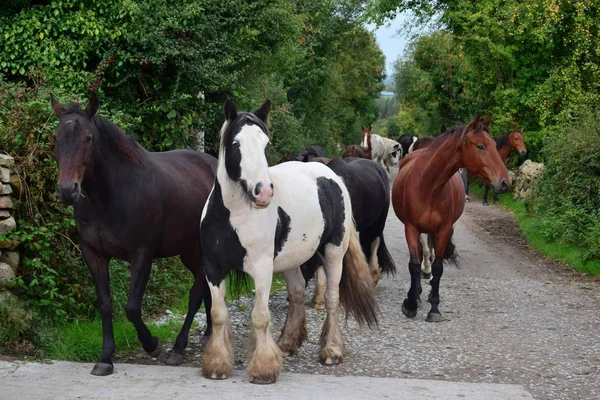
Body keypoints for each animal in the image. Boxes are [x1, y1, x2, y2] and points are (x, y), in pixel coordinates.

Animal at [50, 93, 217, 376]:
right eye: (56, 137)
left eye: (88, 138)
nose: (67, 190)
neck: (110, 195)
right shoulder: (93, 254)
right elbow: (105, 304)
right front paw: (105, 357)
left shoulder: (142, 255)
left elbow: (131, 307)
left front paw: (152, 344)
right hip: (189, 251)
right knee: (205, 288)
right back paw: (208, 333)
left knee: (196, 293)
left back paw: (178, 348)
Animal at [202, 99, 380, 384]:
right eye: (236, 144)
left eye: (265, 144)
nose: (263, 192)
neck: (232, 216)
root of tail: (332, 177)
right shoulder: (212, 268)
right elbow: (218, 315)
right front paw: (217, 365)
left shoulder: (262, 267)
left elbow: (260, 316)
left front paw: (263, 369)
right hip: (291, 260)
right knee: (296, 293)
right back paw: (287, 343)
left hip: (333, 254)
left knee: (332, 297)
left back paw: (332, 350)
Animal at [394, 118, 510, 322]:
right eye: (480, 146)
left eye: (495, 145)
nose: (505, 182)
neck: (428, 186)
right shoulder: (411, 228)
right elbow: (414, 265)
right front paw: (411, 303)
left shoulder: (444, 230)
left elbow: (438, 267)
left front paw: (434, 308)